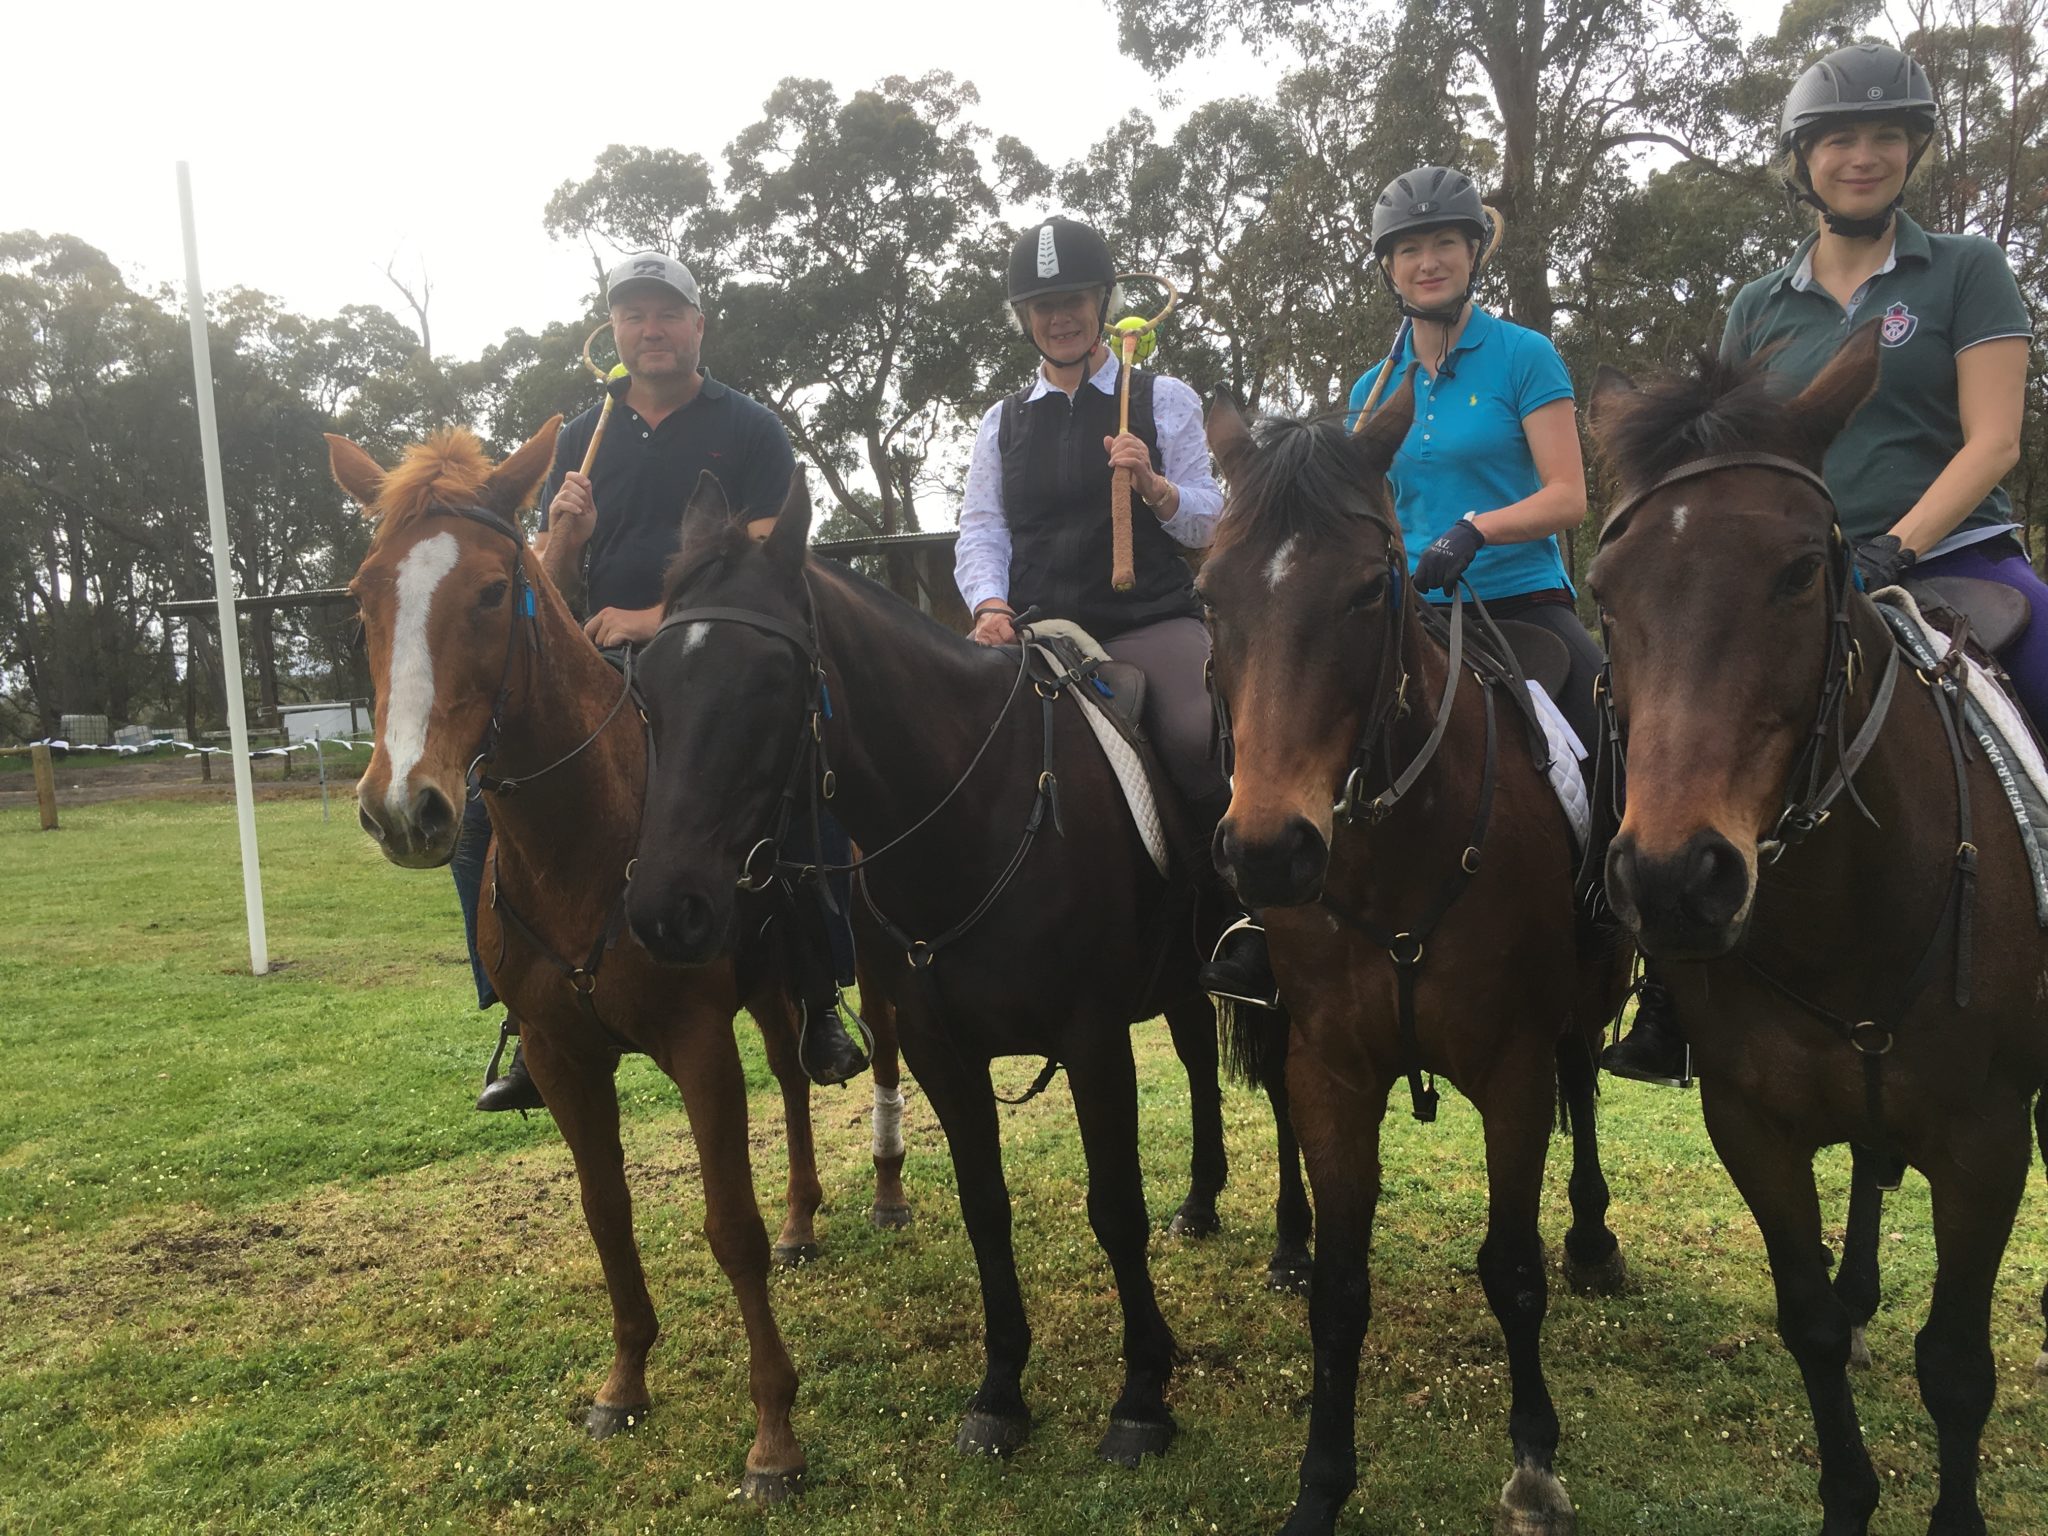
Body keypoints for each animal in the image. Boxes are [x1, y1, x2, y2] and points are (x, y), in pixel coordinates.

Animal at [330, 420, 910, 1502]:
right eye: (363, 595)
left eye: (490, 591)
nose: (402, 806)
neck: (589, 840)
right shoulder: (564, 1058)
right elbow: (607, 1214)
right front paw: (625, 1382)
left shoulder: (696, 1045)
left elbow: (730, 1229)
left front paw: (774, 1436)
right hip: (768, 990)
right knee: (791, 1077)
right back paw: (806, 1221)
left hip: (876, 961)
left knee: (881, 1055)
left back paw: (886, 1192)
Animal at [622, 465, 1311, 1467]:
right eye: (649, 690)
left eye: (773, 679)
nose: (662, 910)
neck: (977, 810)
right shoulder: (941, 1052)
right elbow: (986, 1207)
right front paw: (1001, 1390)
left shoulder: (1093, 1042)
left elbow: (1115, 1207)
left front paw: (1142, 1392)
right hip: (1182, 981)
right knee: (1196, 1065)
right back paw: (1202, 1201)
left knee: (1291, 1092)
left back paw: (1295, 1248)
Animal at [1197, 388, 1631, 1536]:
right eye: (1207, 595)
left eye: (1367, 588)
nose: (1269, 851)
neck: (1400, 854)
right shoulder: (1332, 1075)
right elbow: (1341, 1291)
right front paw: (1320, 1481)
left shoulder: (1512, 1070)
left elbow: (1510, 1268)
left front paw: (1533, 1461)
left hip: (1585, 998)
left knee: (1583, 1084)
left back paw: (1593, 1241)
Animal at [1586, 321, 2048, 1535]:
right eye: (1604, 589)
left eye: (1801, 571)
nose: (1675, 880)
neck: (1851, 914)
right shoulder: (1752, 1126)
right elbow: (1811, 1328)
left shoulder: (1988, 1144)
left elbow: (1956, 1367)